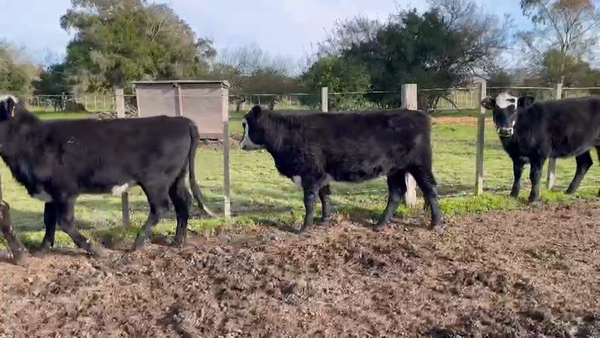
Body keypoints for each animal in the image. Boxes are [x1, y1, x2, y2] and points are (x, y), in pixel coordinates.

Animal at [0, 93, 216, 258]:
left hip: (155, 181)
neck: (33, 141)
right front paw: (42, 249)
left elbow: (65, 223)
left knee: (161, 207)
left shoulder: (64, 191)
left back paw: (138, 242)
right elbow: (49, 221)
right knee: (183, 202)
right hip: (176, 178)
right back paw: (178, 241)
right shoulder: (50, 192)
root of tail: (180, 120)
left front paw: (94, 250)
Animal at [238, 105, 440, 232]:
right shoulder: (322, 175)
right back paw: (380, 224)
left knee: (429, 189)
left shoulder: (310, 174)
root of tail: (421, 115)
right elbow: (324, 197)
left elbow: (309, 201)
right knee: (397, 192)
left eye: (246, 125)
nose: (240, 144)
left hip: (420, 165)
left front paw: (304, 228)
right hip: (395, 169)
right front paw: (323, 221)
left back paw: (436, 223)